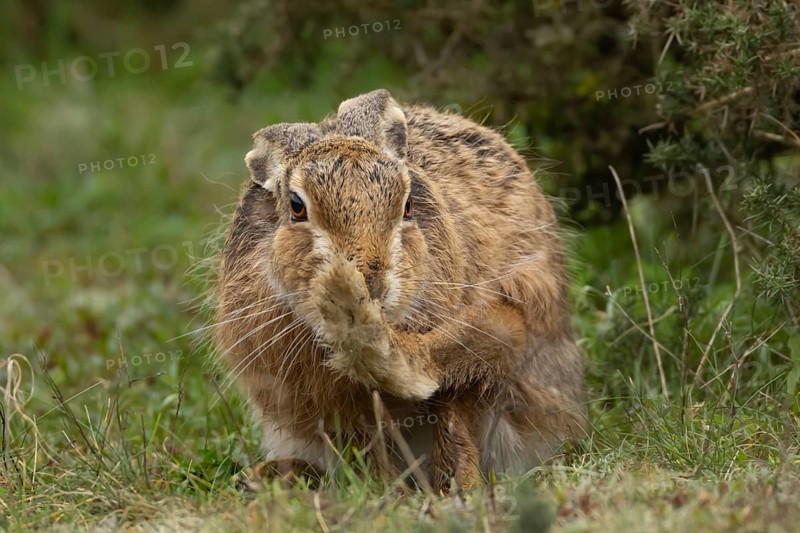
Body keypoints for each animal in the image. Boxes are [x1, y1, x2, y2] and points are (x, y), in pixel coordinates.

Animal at [214, 89, 587, 492]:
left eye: (407, 205)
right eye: (297, 207)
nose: (370, 282)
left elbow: (456, 418)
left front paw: (460, 487)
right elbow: (363, 441)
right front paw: (388, 492)